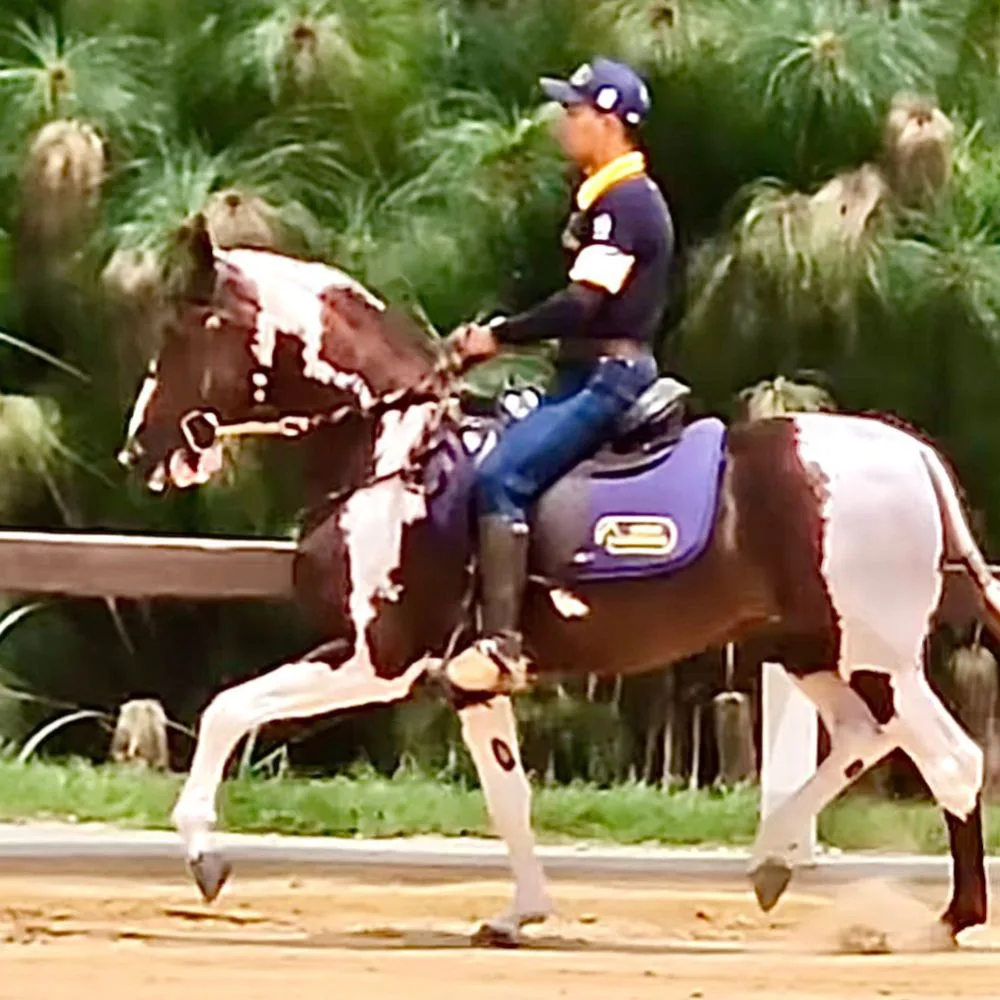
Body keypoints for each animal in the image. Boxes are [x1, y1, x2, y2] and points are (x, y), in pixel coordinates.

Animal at [118, 213, 998, 947]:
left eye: (187, 329)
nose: (139, 449)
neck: (393, 449)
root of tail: (912, 454)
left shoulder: (378, 658)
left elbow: (229, 708)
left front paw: (203, 855)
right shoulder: (467, 680)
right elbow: (509, 796)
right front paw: (521, 914)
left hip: (875, 655)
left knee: (952, 761)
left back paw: (945, 921)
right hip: (810, 648)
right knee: (860, 739)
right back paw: (773, 861)